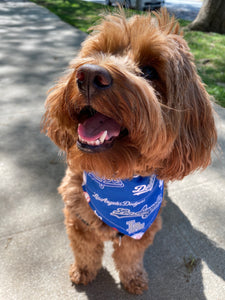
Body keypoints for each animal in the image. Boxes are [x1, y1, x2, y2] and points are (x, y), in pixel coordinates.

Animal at [41, 8, 217, 294]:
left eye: (149, 70)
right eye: (98, 52)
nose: (89, 74)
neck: (114, 176)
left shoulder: (141, 230)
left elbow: (129, 257)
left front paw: (133, 279)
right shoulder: (78, 221)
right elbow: (85, 251)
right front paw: (83, 271)